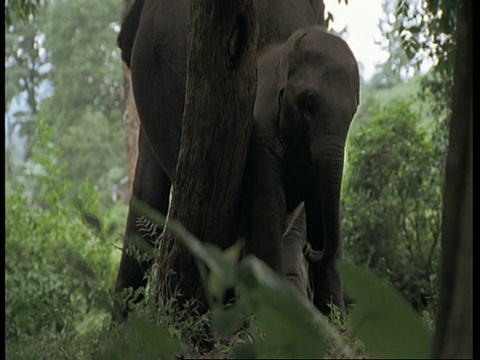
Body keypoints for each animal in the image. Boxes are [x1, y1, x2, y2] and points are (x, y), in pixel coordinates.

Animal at [114, 0, 358, 320]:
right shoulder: (261, 133)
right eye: (308, 104)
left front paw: (330, 321)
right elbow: (269, 205)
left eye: (354, 111)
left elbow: (318, 207)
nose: (311, 249)